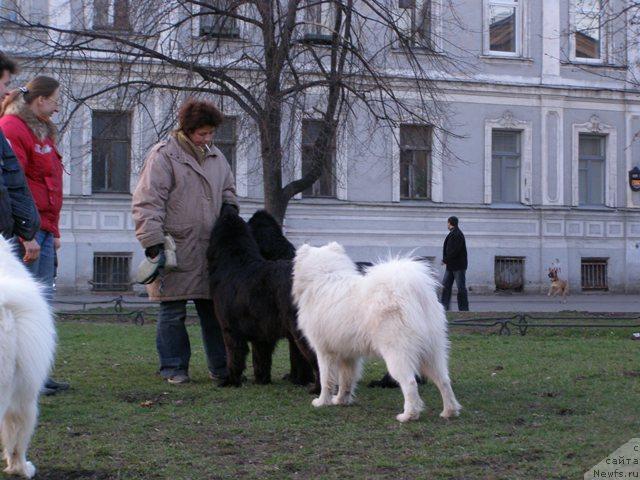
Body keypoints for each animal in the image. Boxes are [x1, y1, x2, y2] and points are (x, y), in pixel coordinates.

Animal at [208, 210, 318, 390]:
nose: (228, 208)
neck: (236, 261)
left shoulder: (230, 330)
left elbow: (233, 357)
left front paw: (231, 381)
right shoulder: (262, 333)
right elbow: (261, 359)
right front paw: (262, 380)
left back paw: (317, 390)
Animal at [292, 242, 462, 422]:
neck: (326, 275)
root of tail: (414, 294)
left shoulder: (324, 352)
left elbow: (326, 379)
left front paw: (322, 402)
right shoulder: (348, 354)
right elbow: (346, 380)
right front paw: (341, 400)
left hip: (397, 353)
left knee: (410, 383)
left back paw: (408, 415)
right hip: (432, 353)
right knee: (444, 381)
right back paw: (449, 411)